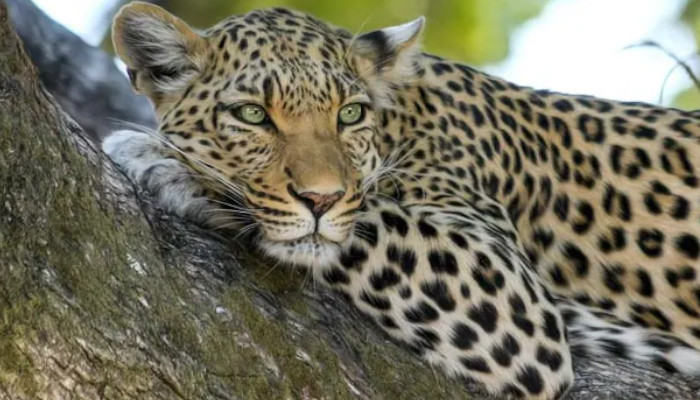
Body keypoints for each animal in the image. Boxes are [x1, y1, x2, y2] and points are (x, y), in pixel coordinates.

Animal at [103, 2, 700, 399]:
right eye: (252, 115)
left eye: (349, 114)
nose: (319, 198)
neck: (401, 122)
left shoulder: (513, 298)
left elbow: (369, 219)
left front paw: (167, 163)